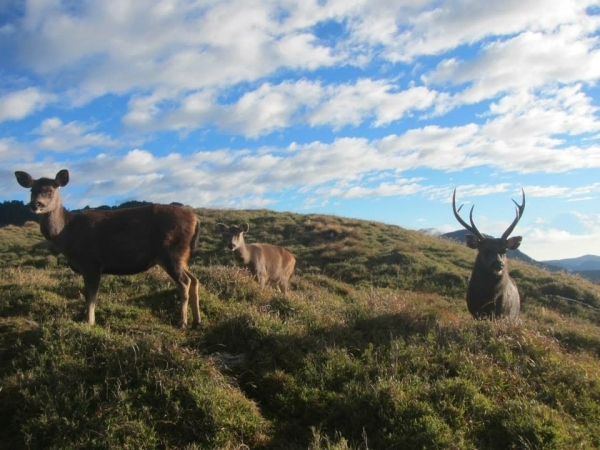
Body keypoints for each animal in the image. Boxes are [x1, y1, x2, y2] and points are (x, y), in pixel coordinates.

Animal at [14, 169, 200, 326]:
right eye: (31, 191)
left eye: (50, 191)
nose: (35, 205)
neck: (66, 234)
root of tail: (195, 220)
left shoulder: (92, 263)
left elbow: (91, 297)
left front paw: (89, 322)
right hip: (181, 256)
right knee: (194, 279)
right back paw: (197, 321)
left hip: (171, 252)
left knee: (185, 281)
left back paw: (182, 322)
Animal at [454, 188, 524, 322]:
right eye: (484, 249)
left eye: (504, 251)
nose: (498, 264)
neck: (488, 298)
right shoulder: (474, 311)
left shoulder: (502, 315)